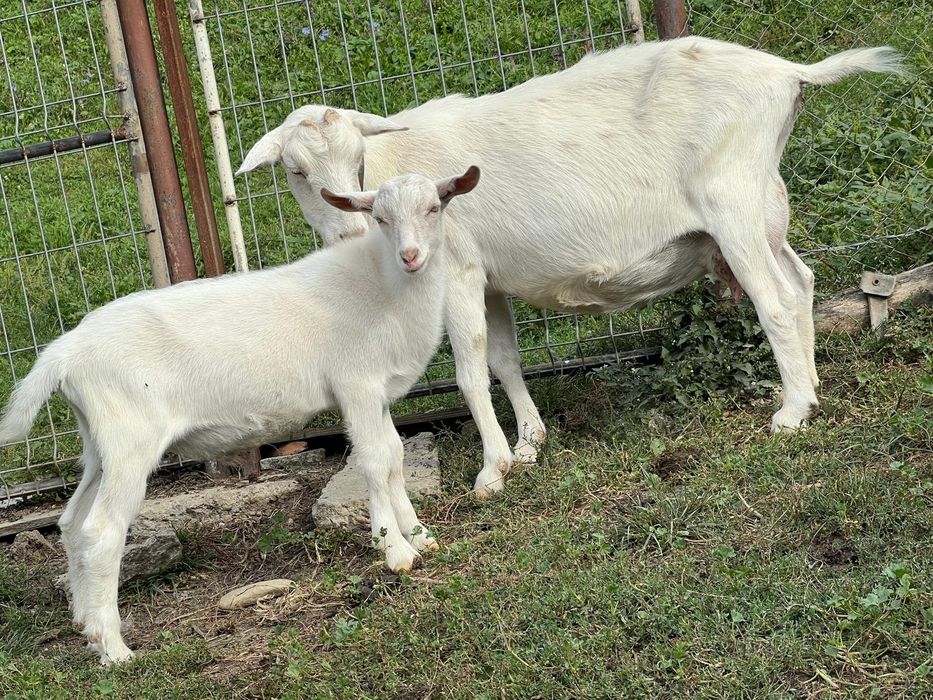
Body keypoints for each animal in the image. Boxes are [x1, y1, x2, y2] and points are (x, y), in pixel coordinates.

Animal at [0, 167, 481, 664]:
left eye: (434, 207)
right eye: (381, 218)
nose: (411, 256)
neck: (384, 286)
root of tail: (63, 352)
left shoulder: (377, 394)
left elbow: (395, 458)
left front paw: (419, 535)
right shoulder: (357, 386)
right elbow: (375, 462)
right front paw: (394, 550)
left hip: (100, 440)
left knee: (72, 523)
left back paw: (85, 624)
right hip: (131, 438)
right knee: (101, 531)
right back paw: (114, 648)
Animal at [238, 37, 904, 498]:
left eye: (357, 159)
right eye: (296, 172)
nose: (349, 231)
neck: (396, 164)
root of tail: (787, 73)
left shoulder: (456, 270)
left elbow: (469, 372)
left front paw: (492, 470)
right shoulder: (490, 278)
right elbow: (503, 359)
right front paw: (530, 444)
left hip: (733, 205)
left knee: (775, 299)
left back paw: (791, 412)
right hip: (765, 204)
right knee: (801, 282)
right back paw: (811, 387)